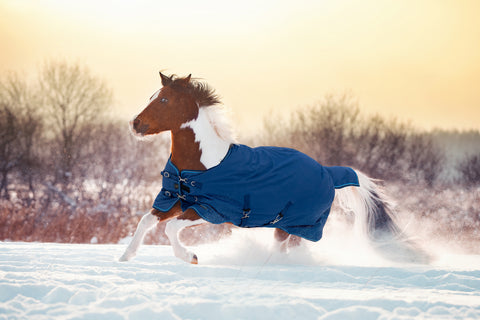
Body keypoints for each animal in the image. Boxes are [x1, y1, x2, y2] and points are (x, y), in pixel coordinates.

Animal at [118, 72, 430, 264]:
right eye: (152, 96)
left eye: (164, 99)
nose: (135, 124)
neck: (202, 165)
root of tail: (329, 172)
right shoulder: (176, 200)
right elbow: (146, 220)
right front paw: (125, 257)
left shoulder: (211, 210)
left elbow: (171, 229)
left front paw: (191, 257)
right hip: (288, 225)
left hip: (296, 224)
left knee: (285, 248)